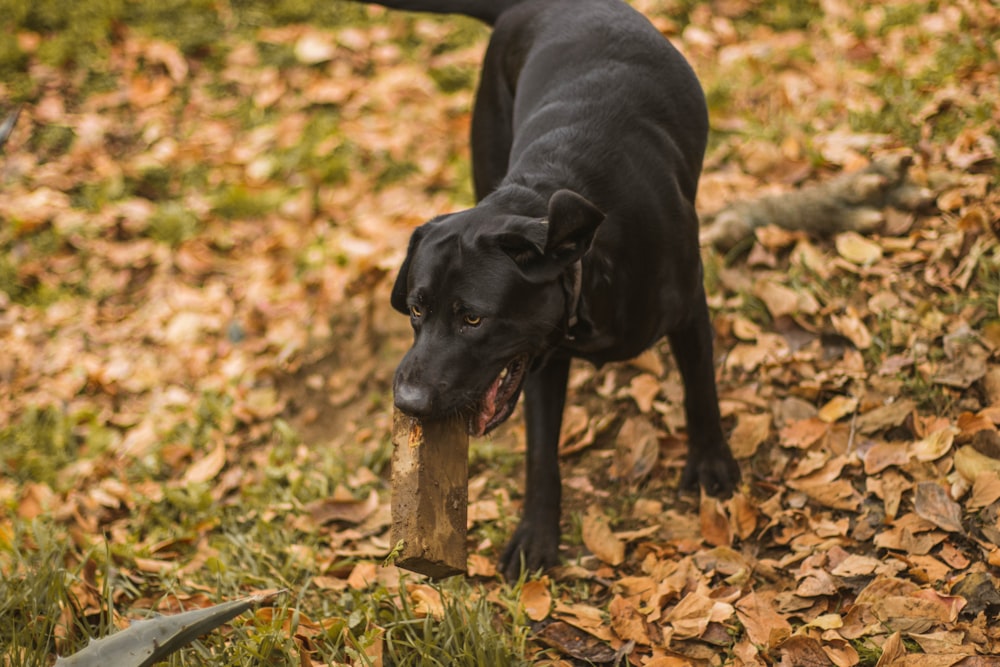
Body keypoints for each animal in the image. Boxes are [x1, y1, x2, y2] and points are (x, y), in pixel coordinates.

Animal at [364, 0, 740, 580]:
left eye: (473, 318)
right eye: (416, 310)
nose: (408, 402)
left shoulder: (689, 309)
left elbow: (700, 388)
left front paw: (711, 463)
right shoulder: (539, 360)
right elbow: (541, 454)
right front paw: (536, 534)